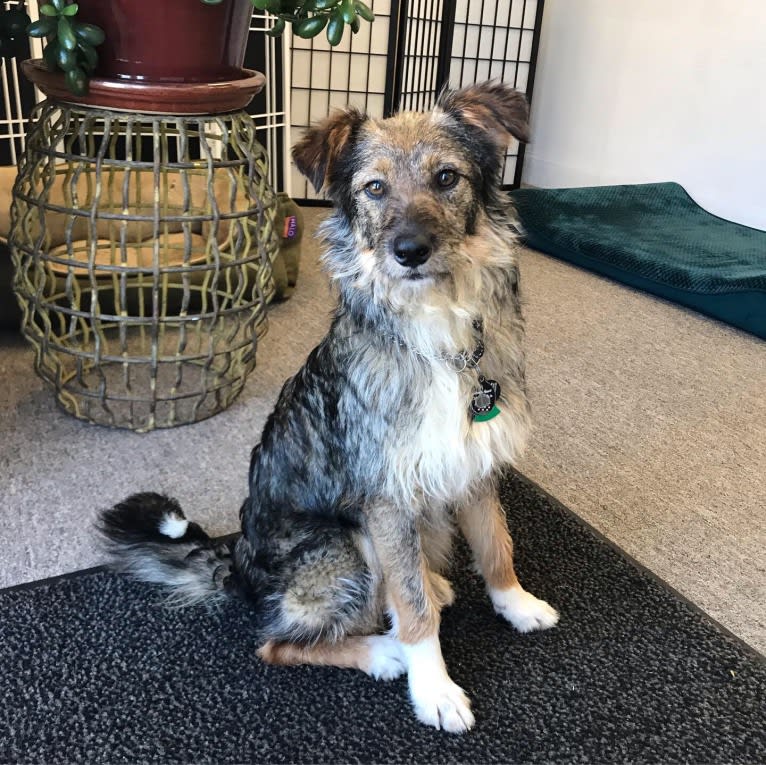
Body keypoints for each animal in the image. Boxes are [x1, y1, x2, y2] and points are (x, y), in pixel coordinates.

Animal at [99, 80, 560, 732]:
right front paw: (434, 688)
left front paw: (516, 604)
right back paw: (383, 651)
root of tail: (238, 564)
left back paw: (431, 584)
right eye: (374, 188)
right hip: (346, 546)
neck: (436, 334)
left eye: (447, 177)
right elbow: (415, 614)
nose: (410, 250)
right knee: (279, 642)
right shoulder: (386, 500)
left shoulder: (474, 466)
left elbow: (496, 545)